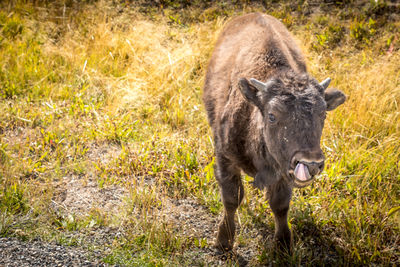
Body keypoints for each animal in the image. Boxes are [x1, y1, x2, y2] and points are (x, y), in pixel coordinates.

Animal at [202, 12, 346, 251]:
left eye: (323, 114)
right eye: (272, 115)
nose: (311, 163)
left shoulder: (283, 170)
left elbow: (280, 204)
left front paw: (283, 245)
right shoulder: (225, 157)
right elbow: (232, 198)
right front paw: (223, 241)